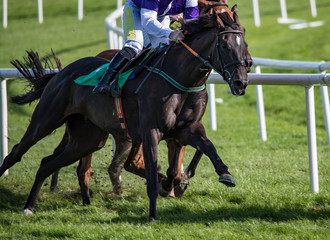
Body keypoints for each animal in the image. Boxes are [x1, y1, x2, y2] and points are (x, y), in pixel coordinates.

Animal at [0, 9, 249, 221]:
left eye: (244, 43)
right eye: (224, 44)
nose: (241, 82)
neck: (180, 79)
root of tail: (61, 73)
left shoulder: (185, 129)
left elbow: (207, 146)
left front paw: (225, 175)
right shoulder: (151, 132)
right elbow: (152, 174)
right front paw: (153, 215)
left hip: (87, 139)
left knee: (46, 163)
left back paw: (29, 206)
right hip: (45, 120)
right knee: (15, 153)